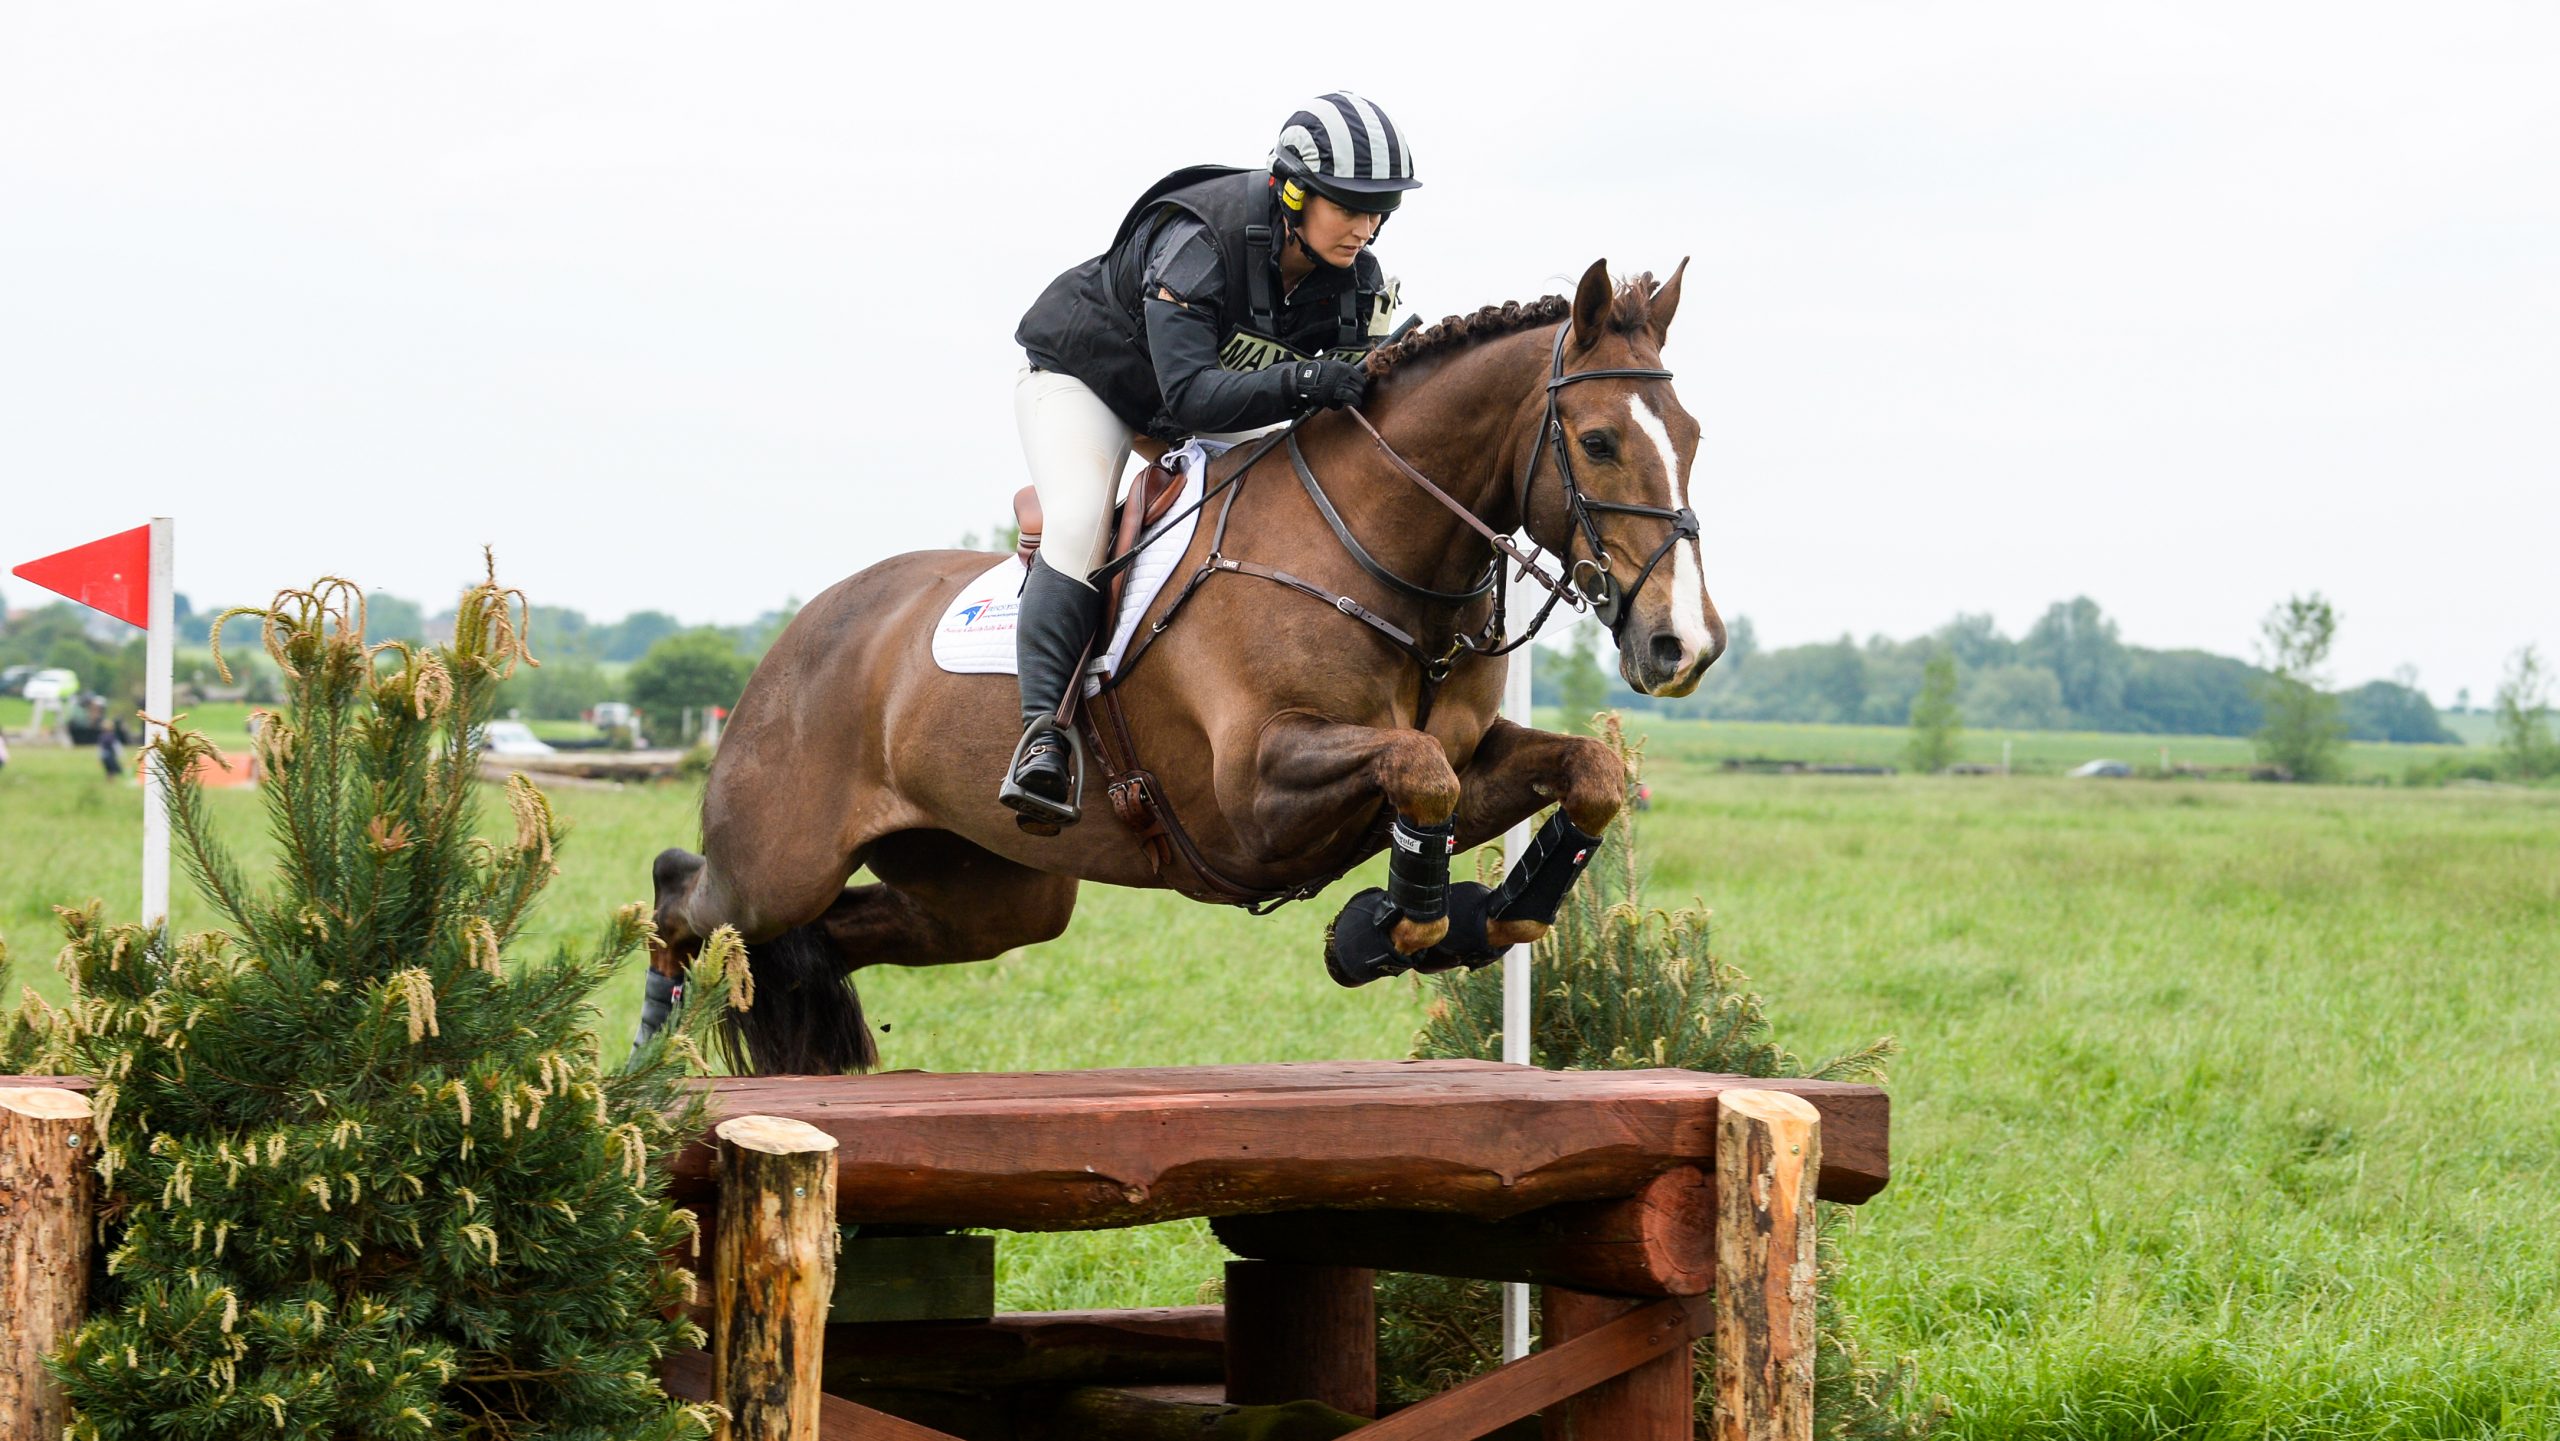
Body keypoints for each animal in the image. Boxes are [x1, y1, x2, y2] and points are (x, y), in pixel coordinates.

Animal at [640, 259, 1725, 1074]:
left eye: (1693, 438)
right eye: (1597, 440)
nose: (1683, 645)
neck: (1377, 549)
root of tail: (799, 634)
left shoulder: (1469, 752)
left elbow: (1579, 773)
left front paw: (1478, 915)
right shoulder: (1253, 794)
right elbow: (1421, 774)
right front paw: (1402, 924)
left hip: (988, 892)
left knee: (819, 940)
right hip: (780, 860)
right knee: (686, 896)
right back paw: (646, 1064)